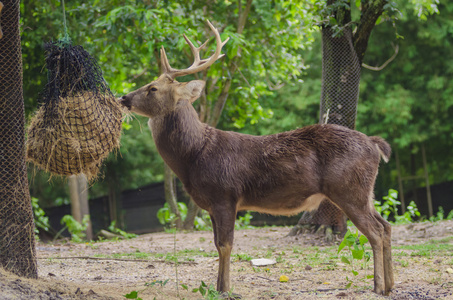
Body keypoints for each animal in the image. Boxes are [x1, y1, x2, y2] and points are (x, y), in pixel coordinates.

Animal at [119, 20, 392, 296]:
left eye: (153, 88)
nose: (123, 98)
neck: (194, 155)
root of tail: (374, 144)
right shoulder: (211, 204)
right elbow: (216, 244)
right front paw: (218, 286)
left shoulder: (225, 195)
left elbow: (225, 244)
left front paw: (225, 289)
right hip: (364, 190)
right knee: (386, 225)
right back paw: (390, 284)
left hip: (348, 188)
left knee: (376, 231)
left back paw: (379, 286)